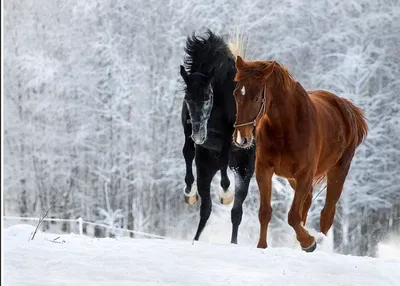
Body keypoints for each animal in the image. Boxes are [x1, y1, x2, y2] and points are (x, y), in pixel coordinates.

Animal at [180, 29, 255, 244]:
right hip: (205, 168)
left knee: (236, 212)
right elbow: (187, 152)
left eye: (207, 97)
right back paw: (196, 239)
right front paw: (189, 192)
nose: (199, 136)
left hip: (244, 169)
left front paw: (226, 191)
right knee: (206, 209)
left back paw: (233, 241)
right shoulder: (188, 128)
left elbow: (223, 158)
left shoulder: (230, 134)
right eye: (187, 97)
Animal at [233, 55, 368, 252]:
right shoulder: (264, 170)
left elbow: (293, 216)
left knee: (327, 212)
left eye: (256, 97)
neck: (286, 126)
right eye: (236, 94)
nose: (241, 138)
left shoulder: (305, 174)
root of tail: (347, 108)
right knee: (308, 203)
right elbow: (265, 212)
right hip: (292, 179)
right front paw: (262, 246)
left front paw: (309, 242)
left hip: (338, 172)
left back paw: (316, 240)